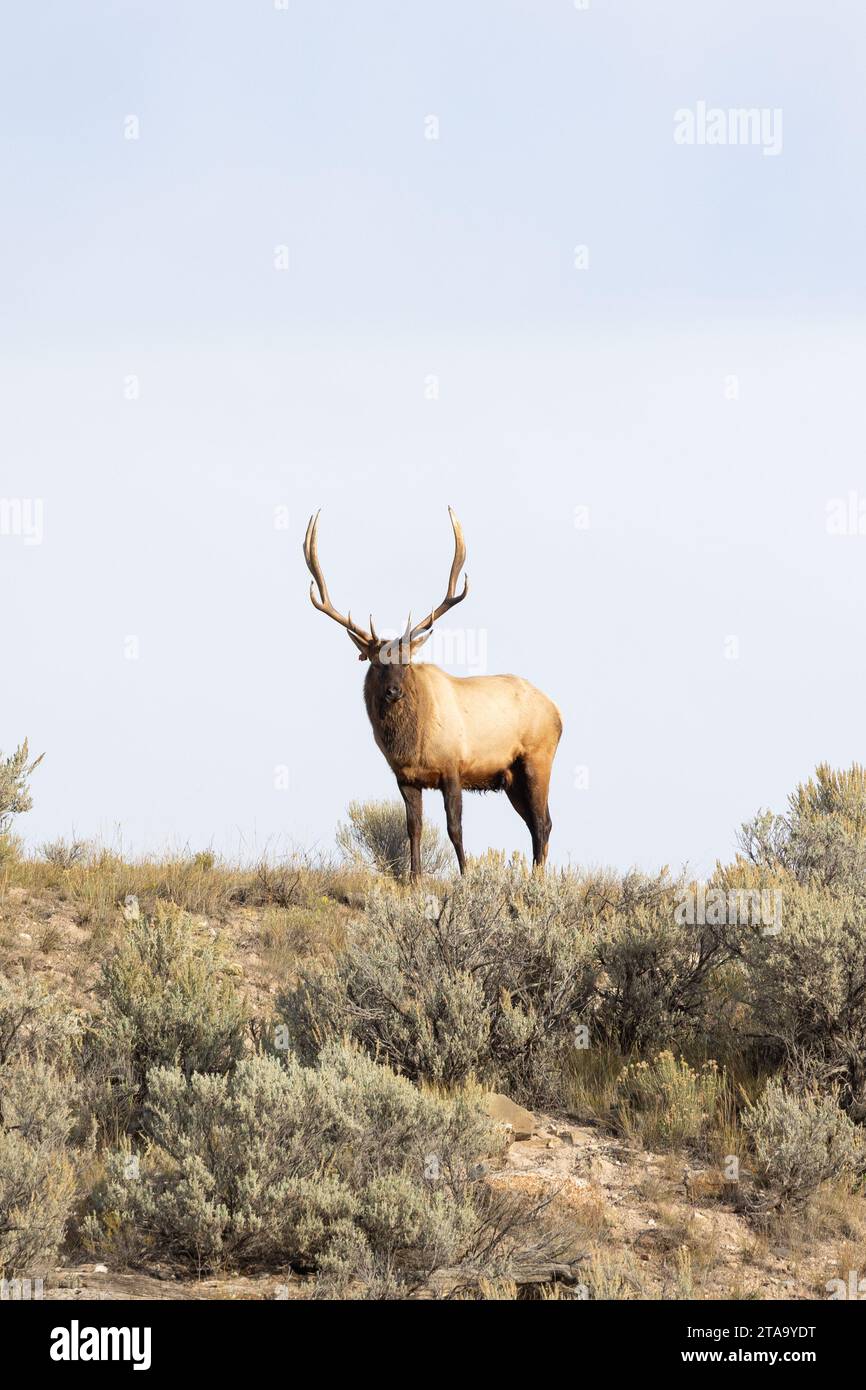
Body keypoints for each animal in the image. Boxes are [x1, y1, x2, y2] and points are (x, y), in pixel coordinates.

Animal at [303, 511, 561, 878]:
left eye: (406, 661)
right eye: (377, 662)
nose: (393, 691)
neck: (411, 746)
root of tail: (558, 712)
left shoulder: (453, 768)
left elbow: (455, 829)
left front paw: (466, 876)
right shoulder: (405, 777)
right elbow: (414, 828)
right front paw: (414, 878)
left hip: (538, 758)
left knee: (543, 822)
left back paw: (537, 880)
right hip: (510, 778)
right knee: (534, 823)